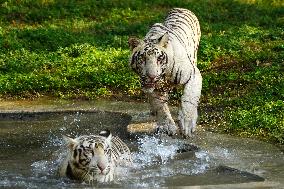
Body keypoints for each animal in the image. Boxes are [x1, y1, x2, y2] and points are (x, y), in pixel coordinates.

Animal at [129, 7, 202, 137]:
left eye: (159, 58)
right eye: (142, 58)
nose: (151, 76)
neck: (163, 76)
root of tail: (179, 8)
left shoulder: (192, 73)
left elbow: (189, 98)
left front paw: (187, 124)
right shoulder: (153, 89)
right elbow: (160, 107)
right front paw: (167, 126)